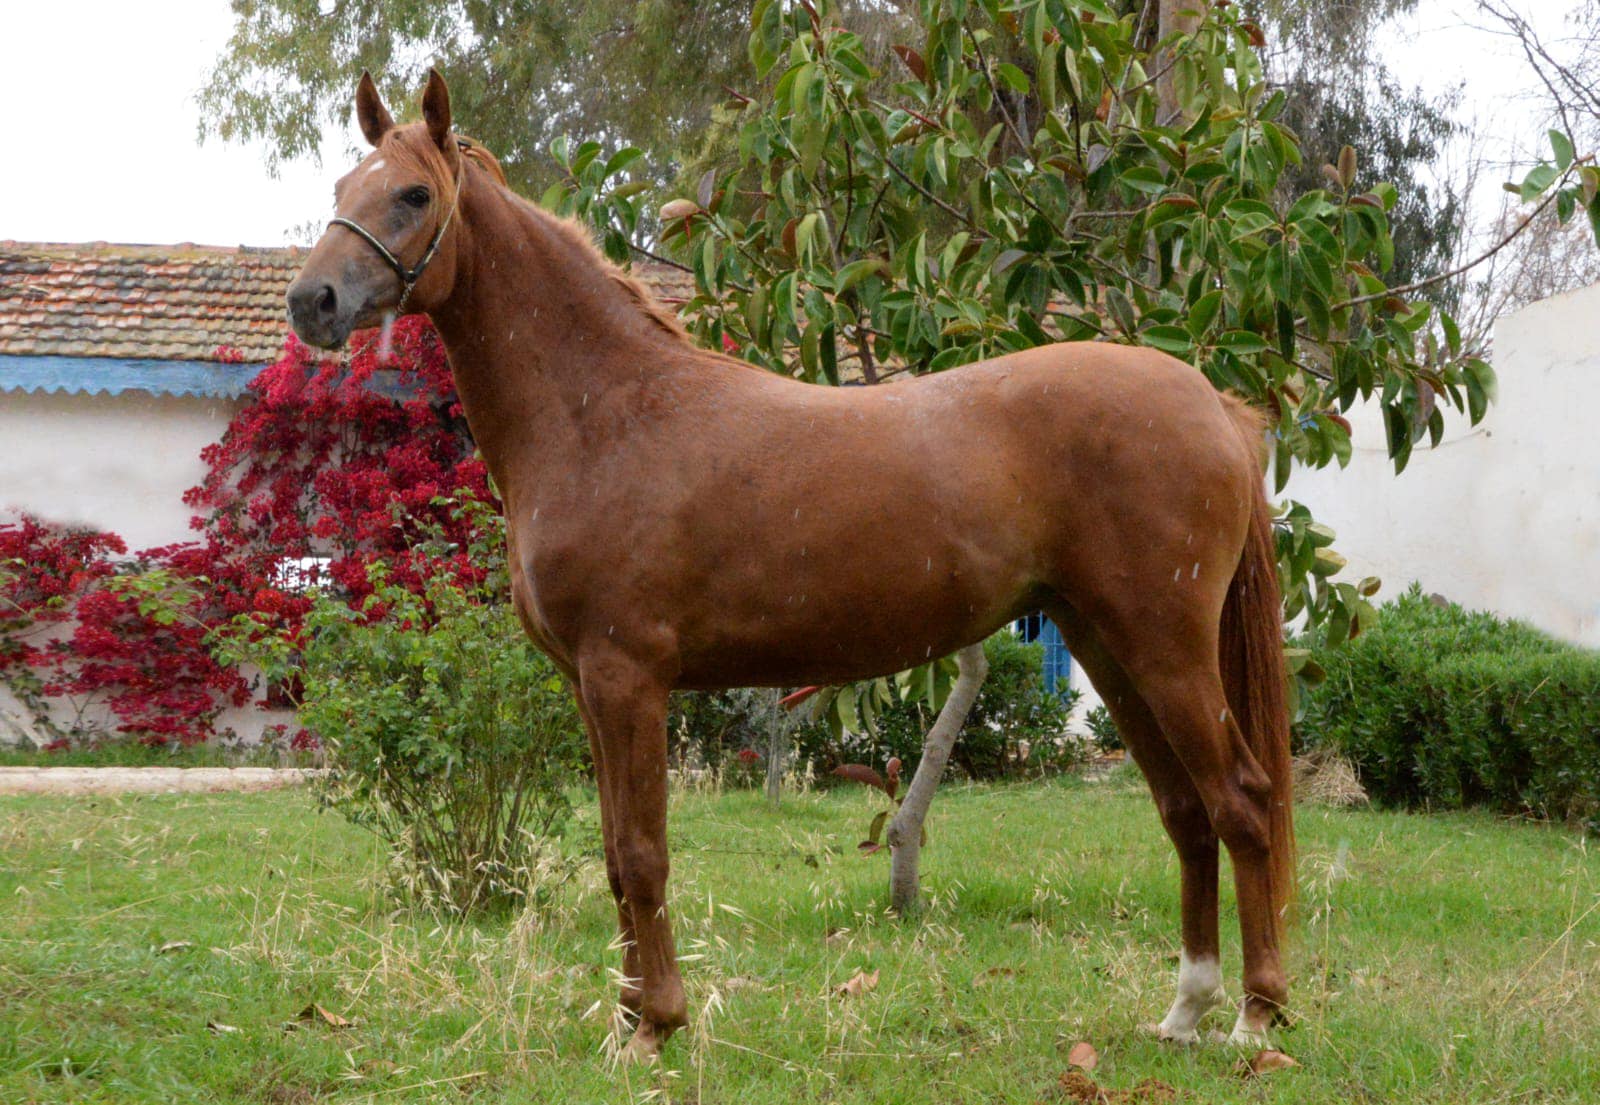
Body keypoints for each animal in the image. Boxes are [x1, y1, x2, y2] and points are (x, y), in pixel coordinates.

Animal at [285, 70, 1294, 1062]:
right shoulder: (589, 686)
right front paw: (626, 1017)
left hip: (1165, 649)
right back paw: (1185, 1010)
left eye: (414, 195)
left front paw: (657, 1024)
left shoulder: (626, 676)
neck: (605, 413)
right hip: (1104, 643)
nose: (312, 303)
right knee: (1186, 810)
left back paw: (1257, 1014)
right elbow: (613, 852)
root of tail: (1216, 405)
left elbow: (643, 851)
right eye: (342, 186)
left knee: (1240, 802)